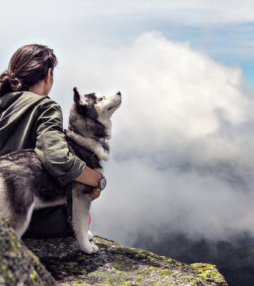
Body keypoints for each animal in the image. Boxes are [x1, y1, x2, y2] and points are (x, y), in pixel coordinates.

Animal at [0, 87, 121, 255]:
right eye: (100, 98)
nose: (119, 92)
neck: (82, 137)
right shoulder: (81, 195)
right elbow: (81, 224)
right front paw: (86, 247)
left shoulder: (72, 200)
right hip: (20, 215)